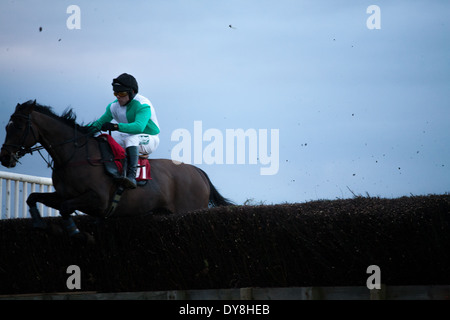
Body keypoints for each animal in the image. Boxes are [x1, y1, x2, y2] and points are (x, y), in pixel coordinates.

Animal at [0, 100, 232, 240]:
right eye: (6, 126)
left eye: (18, 126)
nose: (5, 157)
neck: (74, 156)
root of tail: (198, 172)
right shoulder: (63, 194)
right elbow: (33, 197)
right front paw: (40, 223)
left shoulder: (98, 199)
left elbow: (66, 208)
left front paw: (78, 233)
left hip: (189, 210)